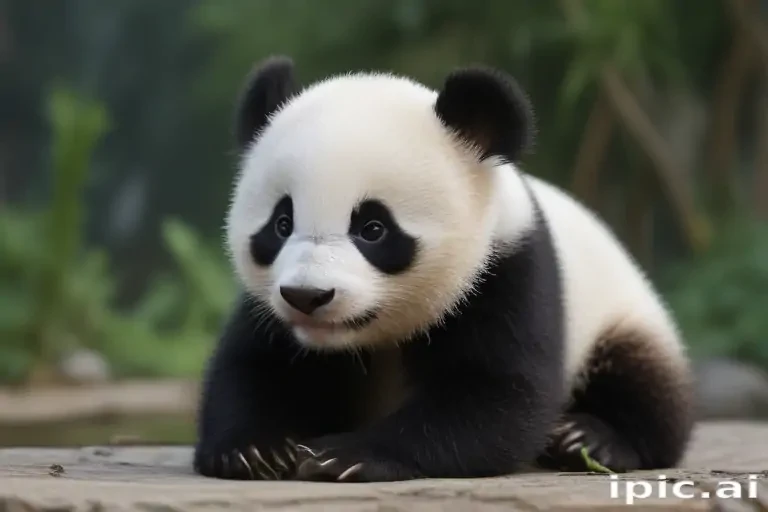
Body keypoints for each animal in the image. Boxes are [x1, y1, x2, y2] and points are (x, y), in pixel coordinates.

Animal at [192, 55, 695, 483]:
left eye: (373, 228)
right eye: (281, 223)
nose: (307, 296)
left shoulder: (506, 270)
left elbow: (494, 395)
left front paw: (348, 455)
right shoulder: (270, 311)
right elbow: (253, 365)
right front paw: (254, 450)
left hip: (622, 314)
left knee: (644, 383)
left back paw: (591, 439)